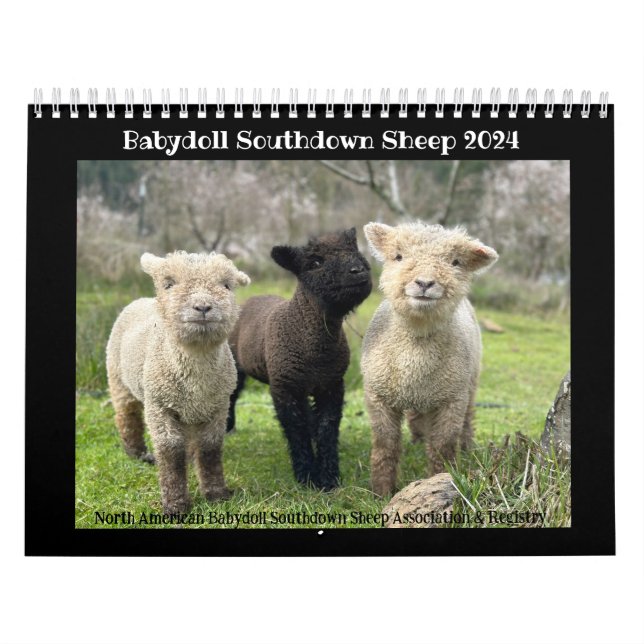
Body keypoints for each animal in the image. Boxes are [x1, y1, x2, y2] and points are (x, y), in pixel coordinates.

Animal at [106, 251, 250, 514]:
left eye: (227, 285)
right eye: (169, 284)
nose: (203, 307)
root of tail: (140, 300)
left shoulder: (218, 407)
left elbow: (210, 450)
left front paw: (217, 494)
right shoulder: (160, 407)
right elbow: (170, 453)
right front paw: (176, 505)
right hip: (118, 379)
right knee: (127, 416)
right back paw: (138, 453)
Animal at [227, 228, 372, 490]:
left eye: (354, 252)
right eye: (314, 263)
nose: (358, 270)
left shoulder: (332, 385)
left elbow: (326, 429)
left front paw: (329, 478)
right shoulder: (286, 387)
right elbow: (297, 430)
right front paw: (306, 477)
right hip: (236, 363)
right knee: (232, 395)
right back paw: (228, 427)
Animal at [361, 222, 498, 496]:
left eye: (455, 262)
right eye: (398, 256)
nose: (424, 283)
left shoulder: (452, 399)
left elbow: (443, 446)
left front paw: (440, 479)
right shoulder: (378, 395)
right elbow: (385, 444)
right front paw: (382, 491)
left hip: (470, 380)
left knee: (468, 416)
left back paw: (467, 446)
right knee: (416, 417)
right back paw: (416, 440)